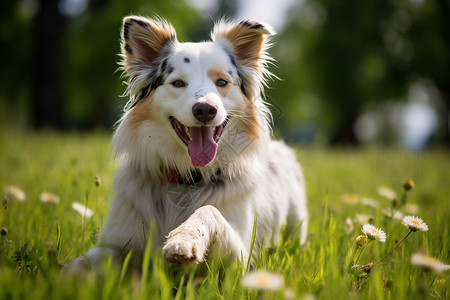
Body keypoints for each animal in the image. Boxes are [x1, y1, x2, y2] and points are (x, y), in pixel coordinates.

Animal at [66, 15, 306, 270]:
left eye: (222, 82)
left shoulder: (240, 259)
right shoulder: (114, 243)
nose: (205, 110)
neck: (186, 177)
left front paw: (182, 241)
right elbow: (75, 266)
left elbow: (208, 210)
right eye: (178, 83)